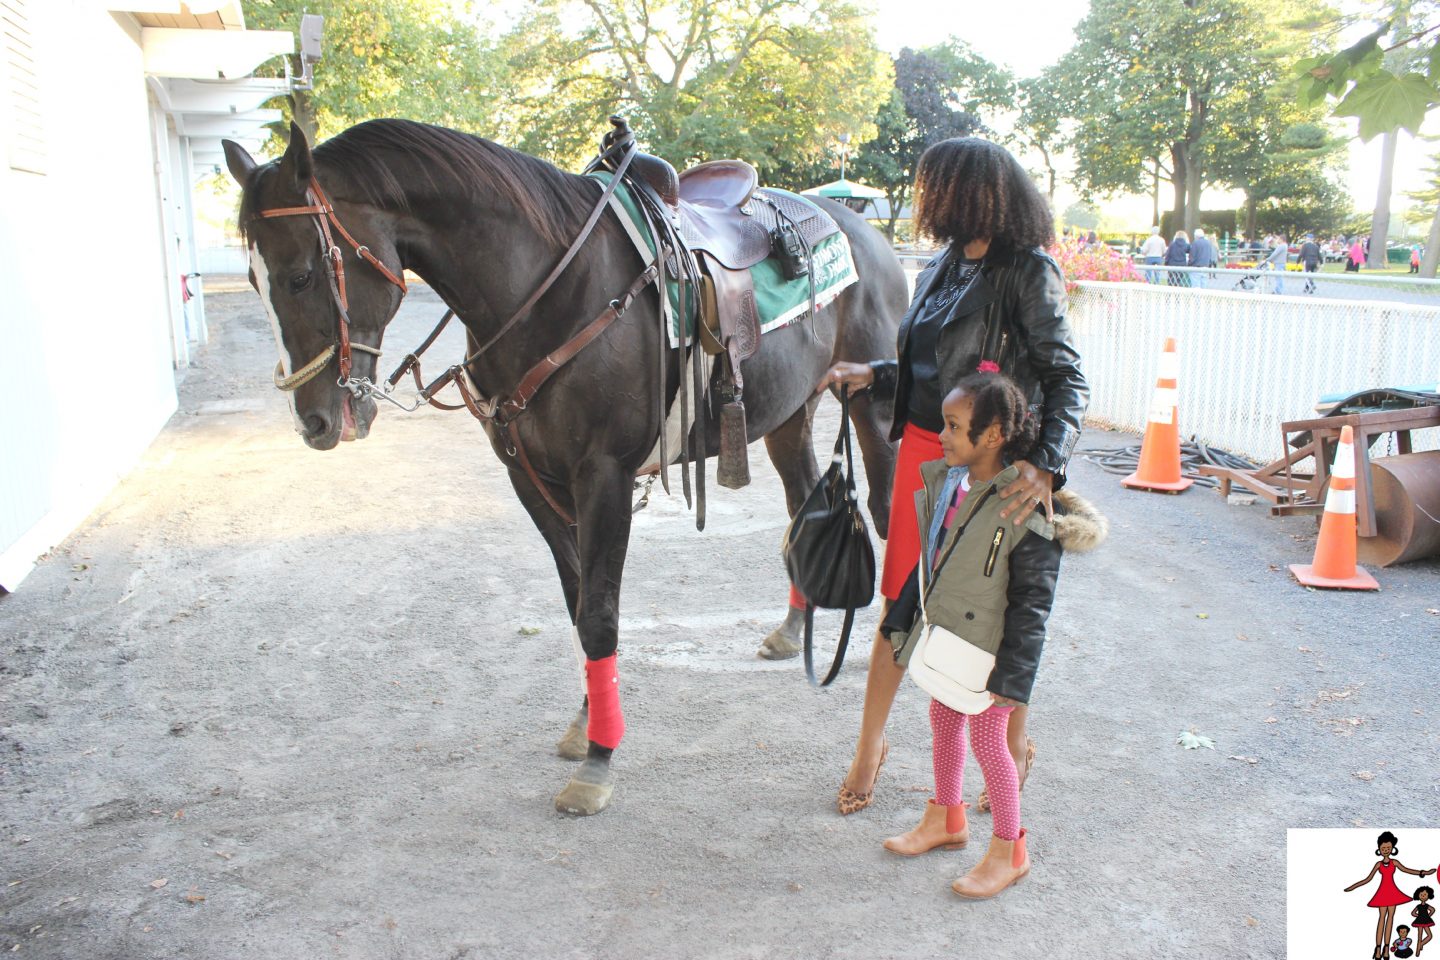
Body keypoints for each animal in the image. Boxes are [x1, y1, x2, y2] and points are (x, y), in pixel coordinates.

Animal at [223, 116, 898, 817]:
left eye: (302, 275)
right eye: (253, 279)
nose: (313, 420)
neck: (550, 289)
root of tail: (862, 232)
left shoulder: (603, 475)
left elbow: (599, 613)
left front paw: (599, 760)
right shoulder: (530, 477)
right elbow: (577, 605)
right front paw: (587, 723)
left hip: (871, 404)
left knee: (885, 508)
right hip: (790, 414)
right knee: (803, 507)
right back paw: (793, 628)